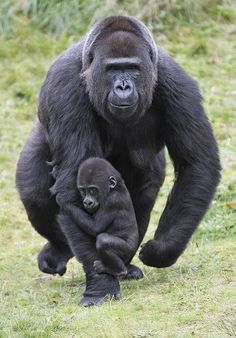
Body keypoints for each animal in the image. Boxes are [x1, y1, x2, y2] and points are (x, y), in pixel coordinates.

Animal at [15, 17, 220, 304]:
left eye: (132, 69)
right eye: (113, 69)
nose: (123, 86)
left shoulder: (178, 84)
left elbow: (196, 164)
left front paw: (162, 249)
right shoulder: (63, 88)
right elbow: (71, 184)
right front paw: (101, 285)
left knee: (141, 198)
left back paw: (124, 264)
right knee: (34, 192)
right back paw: (59, 249)